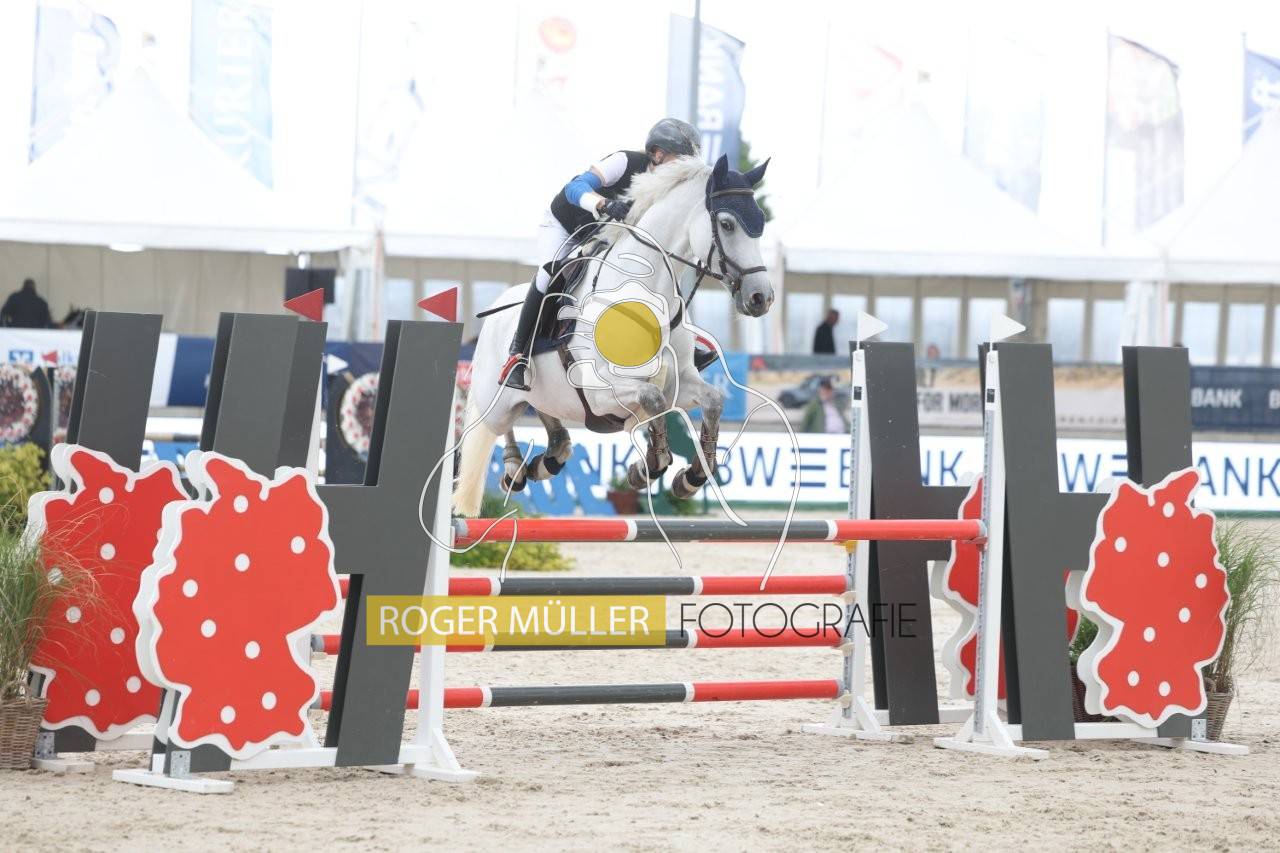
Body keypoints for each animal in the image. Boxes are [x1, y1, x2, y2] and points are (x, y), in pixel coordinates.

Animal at [453, 154, 774, 517]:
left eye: (761, 222)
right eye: (728, 224)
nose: (761, 297)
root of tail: (497, 307)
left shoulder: (680, 383)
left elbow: (712, 400)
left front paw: (691, 476)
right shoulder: (601, 392)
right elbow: (653, 399)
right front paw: (649, 467)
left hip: (544, 395)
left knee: (547, 419)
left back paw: (548, 459)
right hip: (495, 398)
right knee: (494, 426)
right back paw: (513, 468)